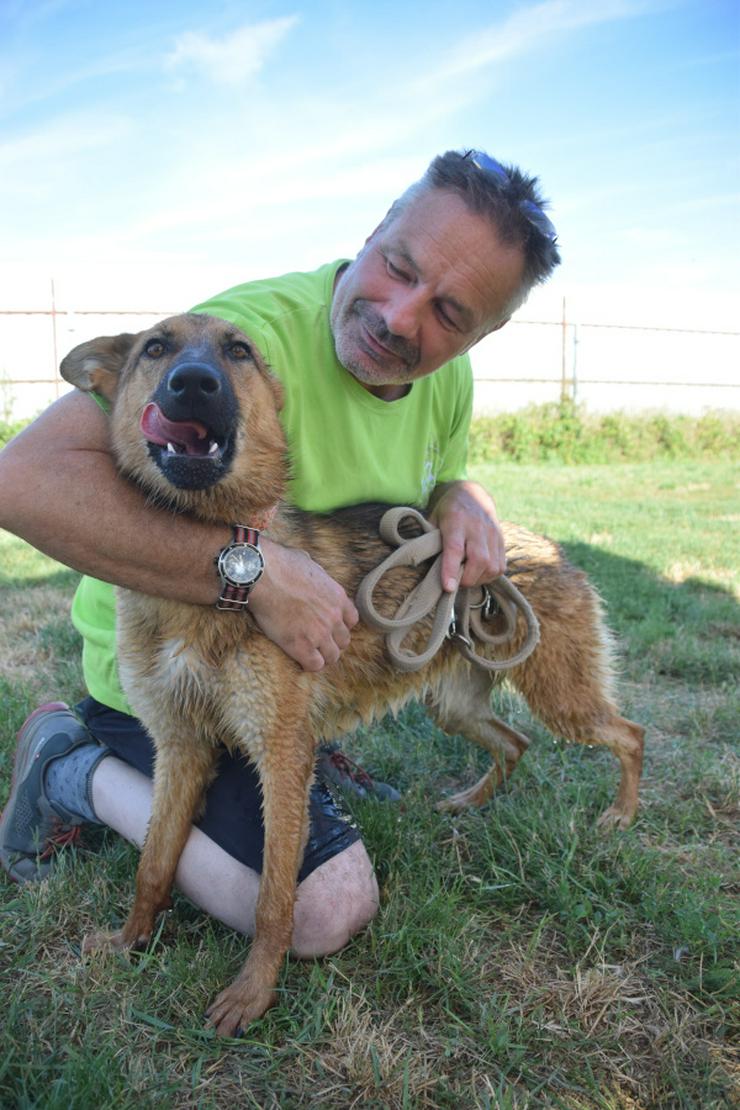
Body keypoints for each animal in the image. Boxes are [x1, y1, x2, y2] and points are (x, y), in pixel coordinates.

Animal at [62, 315, 643, 1038]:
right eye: (155, 348)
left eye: (238, 350)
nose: (192, 384)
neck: (213, 572)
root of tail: (549, 546)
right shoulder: (181, 748)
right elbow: (153, 862)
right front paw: (129, 941)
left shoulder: (281, 754)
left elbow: (275, 898)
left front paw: (253, 995)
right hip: (457, 706)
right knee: (516, 743)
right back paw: (468, 804)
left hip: (562, 699)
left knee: (629, 735)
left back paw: (620, 814)